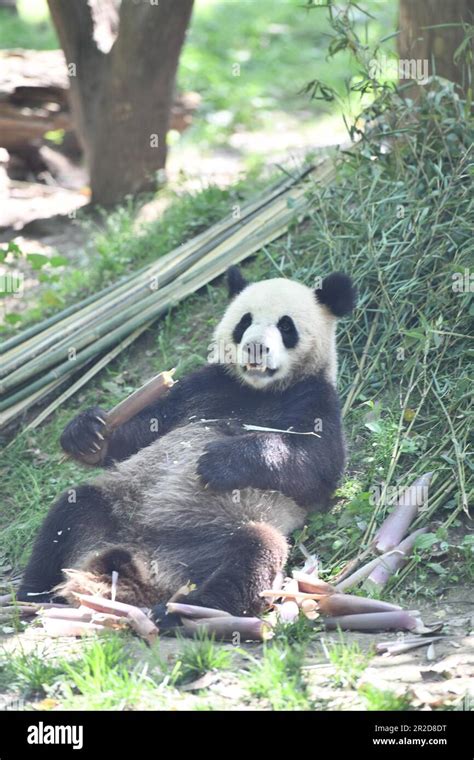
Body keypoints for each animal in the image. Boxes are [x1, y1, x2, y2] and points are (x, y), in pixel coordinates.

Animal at [18, 266, 356, 616]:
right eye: (244, 322)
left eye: (285, 326)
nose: (255, 348)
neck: (258, 391)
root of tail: (148, 566)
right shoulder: (206, 385)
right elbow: (140, 433)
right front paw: (85, 434)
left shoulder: (315, 399)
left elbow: (316, 468)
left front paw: (219, 461)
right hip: (115, 508)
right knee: (70, 511)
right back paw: (33, 597)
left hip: (213, 539)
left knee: (253, 554)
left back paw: (184, 613)